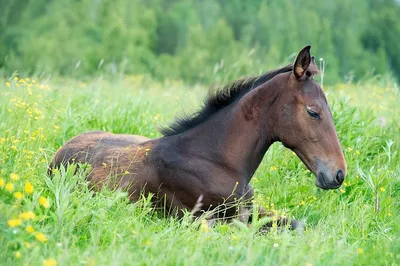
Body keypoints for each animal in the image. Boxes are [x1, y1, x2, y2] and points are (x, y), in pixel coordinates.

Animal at [48, 45, 346, 229]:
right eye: (313, 112)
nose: (338, 174)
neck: (215, 160)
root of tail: (59, 155)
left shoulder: (250, 210)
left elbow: (297, 225)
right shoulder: (203, 218)